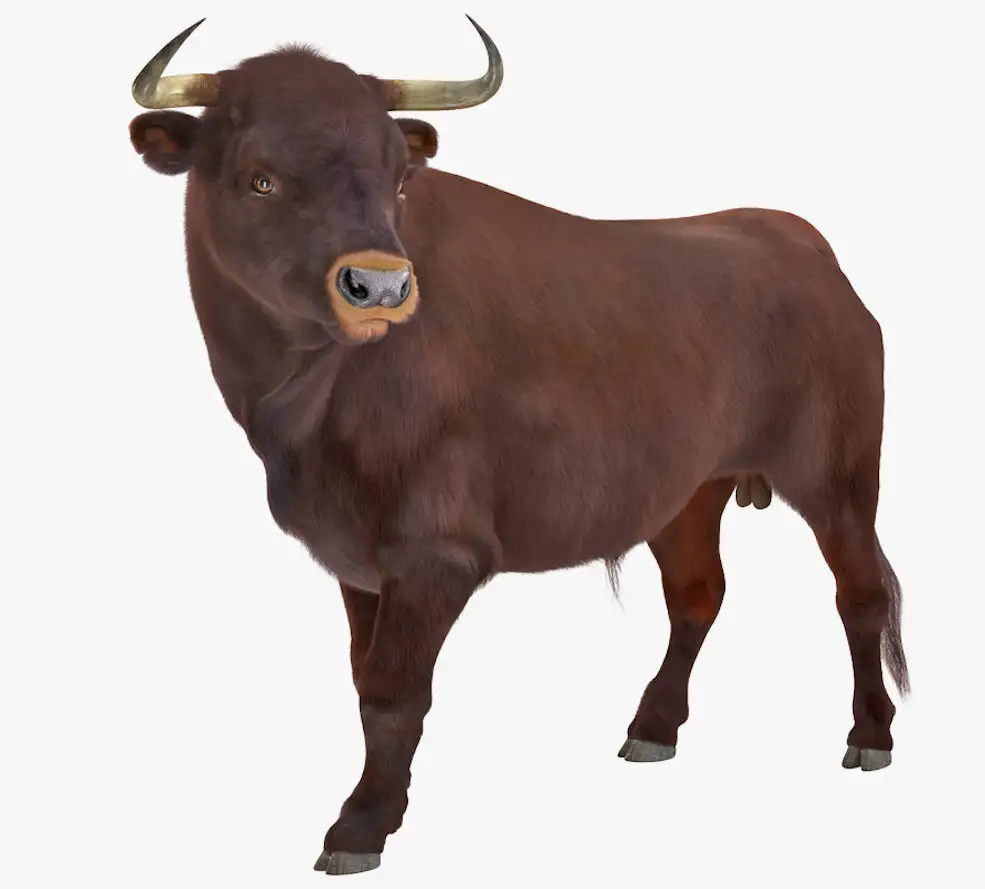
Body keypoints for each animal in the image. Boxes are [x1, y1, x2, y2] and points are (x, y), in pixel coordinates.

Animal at [128, 17, 910, 876]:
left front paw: (359, 825)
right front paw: (383, 807)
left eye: (397, 178)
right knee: (698, 591)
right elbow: (363, 674)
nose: (380, 288)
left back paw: (870, 733)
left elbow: (393, 693)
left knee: (859, 592)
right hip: (688, 490)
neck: (303, 403)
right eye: (260, 179)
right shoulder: (356, 560)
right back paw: (653, 726)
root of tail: (796, 240)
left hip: (836, 475)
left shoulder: (433, 553)